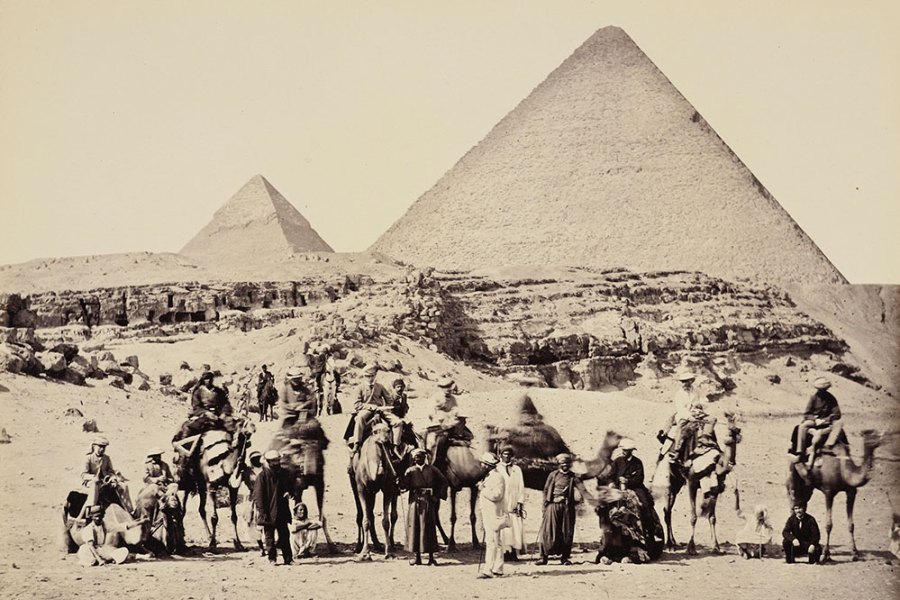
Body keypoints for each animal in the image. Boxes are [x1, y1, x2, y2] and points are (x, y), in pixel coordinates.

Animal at [656, 414, 740, 556]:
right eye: (729, 425)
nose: (736, 432)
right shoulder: (692, 482)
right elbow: (693, 517)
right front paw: (691, 548)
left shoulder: (716, 487)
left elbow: (712, 517)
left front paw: (716, 547)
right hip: (671, 479)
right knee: (667, 510)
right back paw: (670, 545)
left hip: (679, 483)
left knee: (669, 509)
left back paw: (674, 542)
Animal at [788, 426, 880, 564]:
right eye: (870, 436)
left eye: (876, 434)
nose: (880, 439)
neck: (844, 471)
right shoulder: (829, 492)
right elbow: (828, 525)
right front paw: (826, 555)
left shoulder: (851, 492)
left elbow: (851, 525)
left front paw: (855, 554)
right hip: (793, 480)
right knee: (792, 499)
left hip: (808, 487)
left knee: (802, 500)